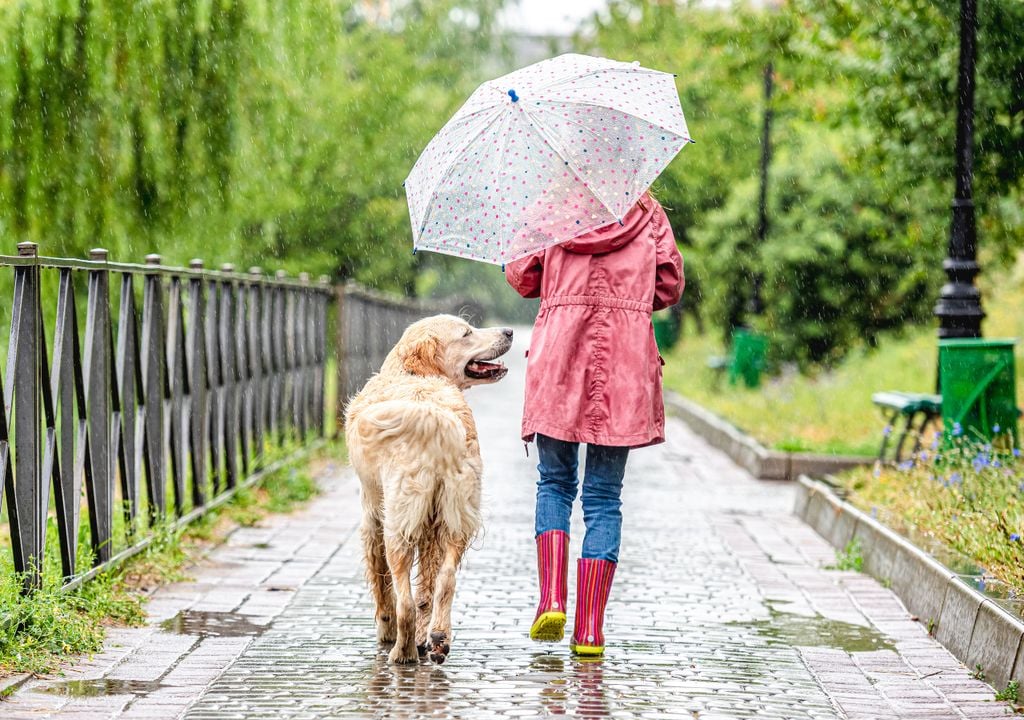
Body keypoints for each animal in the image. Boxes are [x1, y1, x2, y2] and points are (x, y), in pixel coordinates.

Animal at [346, 315, 512, 663]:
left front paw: (386, 631)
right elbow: (428, 586)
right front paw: (426, 637)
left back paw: (402, 651)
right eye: (467, 333)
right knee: (445, 580)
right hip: (455, 515)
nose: (509, 331)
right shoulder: (432, 524)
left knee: (404, 601)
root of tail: (433, 414)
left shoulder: (371, 515)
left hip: (398, 522)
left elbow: (382, 584)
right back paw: (437, 638)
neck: (411, 375)